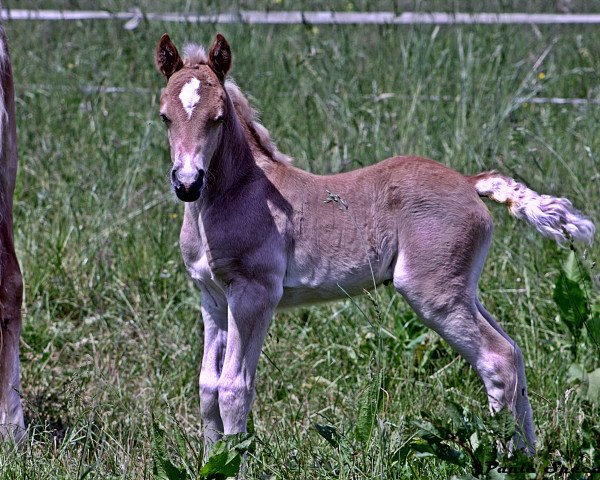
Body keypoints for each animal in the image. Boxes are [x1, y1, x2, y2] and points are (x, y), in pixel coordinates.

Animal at [156, 32, 596, 454]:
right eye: (164, 117)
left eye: (217, 118)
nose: (187, 183)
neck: (239, 193)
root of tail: (470, 182)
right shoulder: (213, 298)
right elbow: (207, 388)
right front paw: (211, 462)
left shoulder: (254, 293)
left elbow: (234, 388)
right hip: (462, 289)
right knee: (514, 352)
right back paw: (527, 457)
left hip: (431, 293)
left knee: (498, 358)